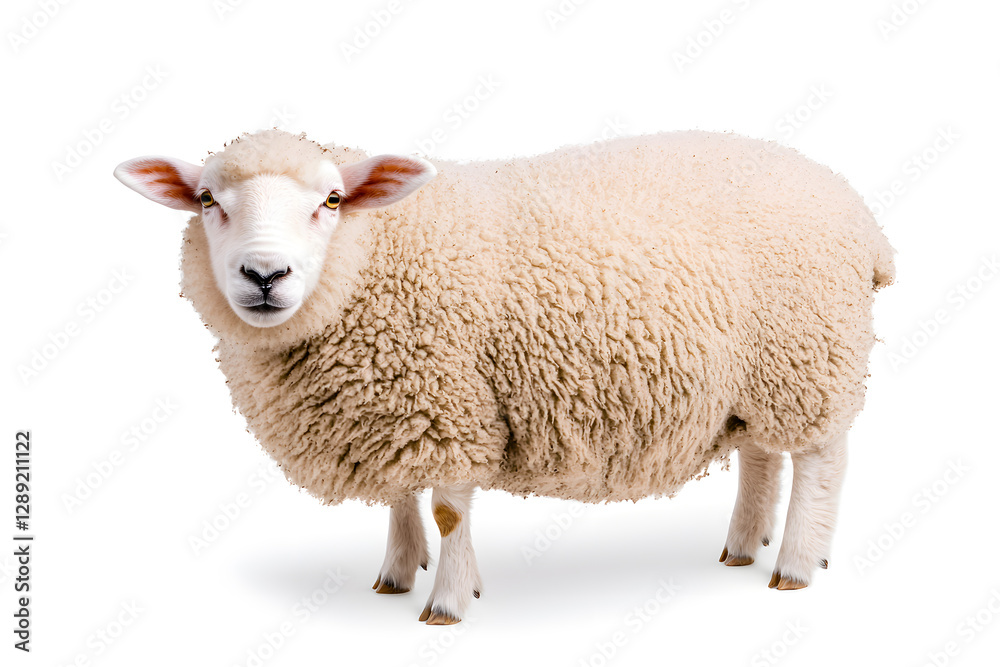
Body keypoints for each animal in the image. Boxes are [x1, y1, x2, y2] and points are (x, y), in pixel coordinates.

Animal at [114, 128, 894, 625]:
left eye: (332, 200)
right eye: (208, 200)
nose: (264, 274)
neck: (373, 260)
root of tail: (861, 216)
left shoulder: (450, 404)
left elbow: (449, 509)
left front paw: (448, 603)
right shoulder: (400, 402)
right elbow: (401, 492)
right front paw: (396, 573)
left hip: (809, 357)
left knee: (820, 461)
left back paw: (794, 563)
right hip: (757, 374)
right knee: (761, 453)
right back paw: (742, 545)